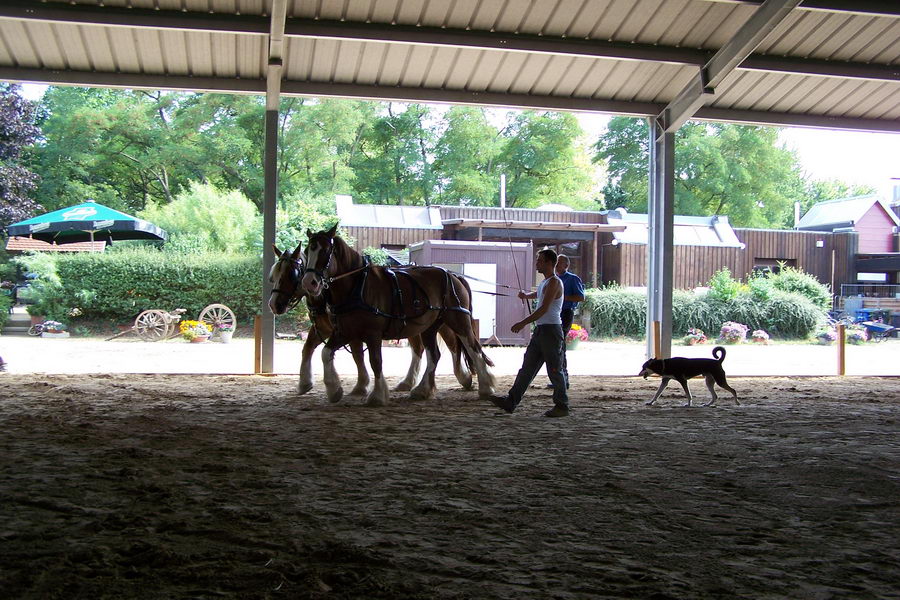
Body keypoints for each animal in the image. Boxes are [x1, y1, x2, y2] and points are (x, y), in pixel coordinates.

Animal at [268, 239, 478, 398]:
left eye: (291, 274)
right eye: (274, 276)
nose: (274, 304)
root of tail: (452, 274)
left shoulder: (351, 330)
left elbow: (357, 355)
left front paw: (361, 385)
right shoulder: (326, 327)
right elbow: (308, 348)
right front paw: (305, 383)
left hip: (445, 323)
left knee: (453, 345)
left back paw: (463, 377)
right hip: (417, 325)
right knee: (421, 349)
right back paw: (410, 383)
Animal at [302, 225, 500, 408]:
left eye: (325, 250)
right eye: (306, 251)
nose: (309, 283)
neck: (357, 287)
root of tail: (453, 275)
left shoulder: (373, 333)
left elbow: (376, 361)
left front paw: (377, 396)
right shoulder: (345, 331)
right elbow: (325, 352)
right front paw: (334, 390)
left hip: (458, 321)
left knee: (473, 348)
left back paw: (486, 388)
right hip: (430, 327)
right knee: (434, 355)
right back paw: (422, 390)